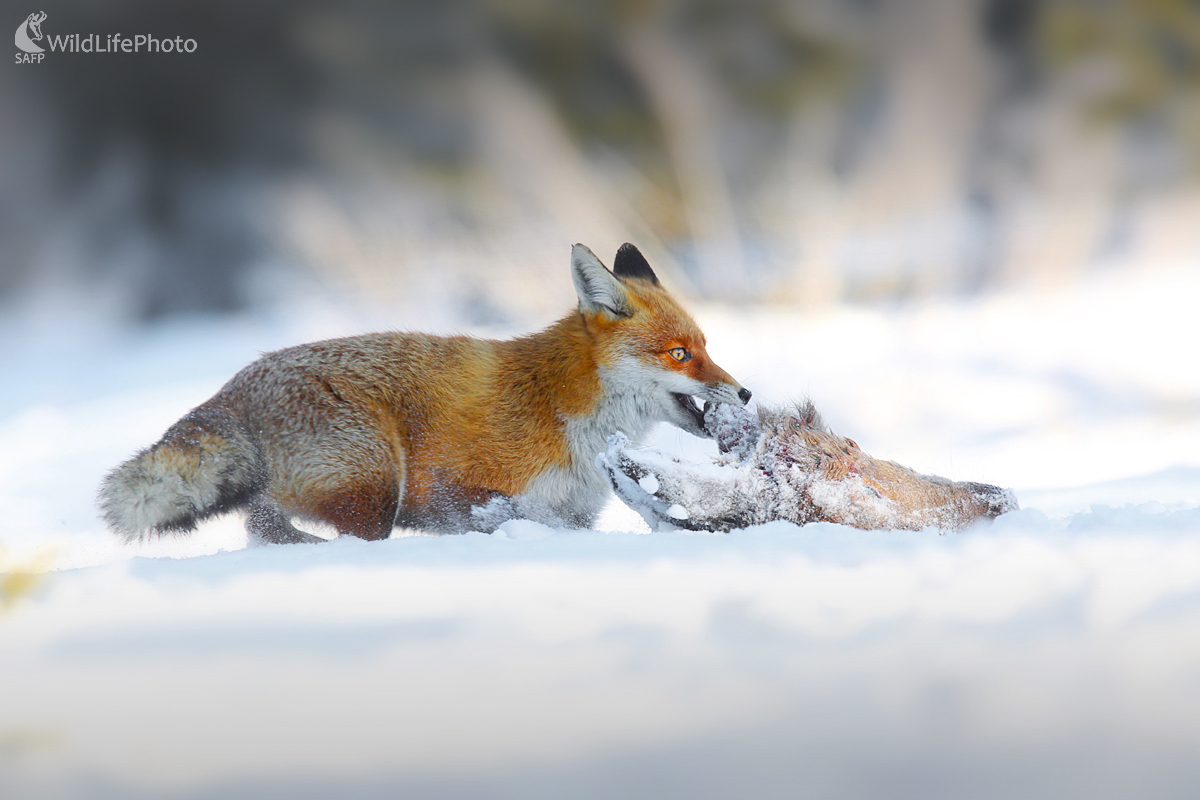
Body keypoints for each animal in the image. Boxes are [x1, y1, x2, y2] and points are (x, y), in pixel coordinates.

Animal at [100, 244, 748, 544]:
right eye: (679, 354)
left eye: (705, 345)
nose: (742, 394)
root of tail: (233, 388)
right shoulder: (454, 488)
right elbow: (507, 516)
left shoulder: (577, 515)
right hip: (376, 489)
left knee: (264, 533)